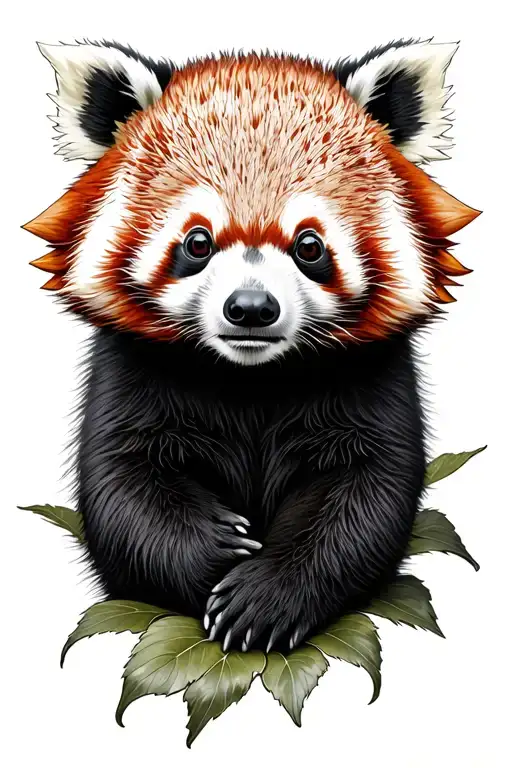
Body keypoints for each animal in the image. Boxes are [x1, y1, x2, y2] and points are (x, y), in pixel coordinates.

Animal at [25, 38, 479, 653]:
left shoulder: (376, 378)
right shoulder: (128, 371)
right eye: (197, 242)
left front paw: (263, 599)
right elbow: (122, 486)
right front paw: (219, 553)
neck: (252, 378)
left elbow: (366, 495)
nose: (251, 308)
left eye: (309, 245)